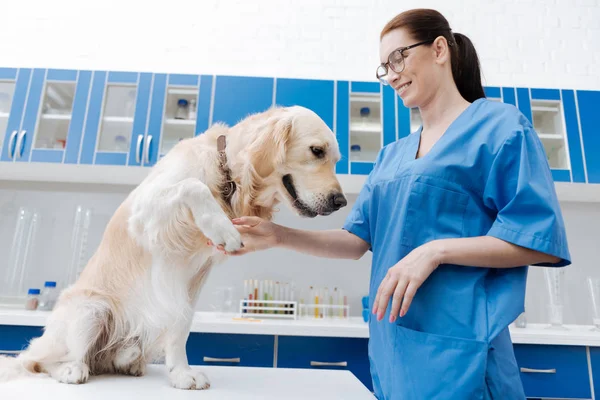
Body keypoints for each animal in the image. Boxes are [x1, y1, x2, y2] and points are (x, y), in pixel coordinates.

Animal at [0, 104, 346, 390]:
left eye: (336, 160)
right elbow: (192, 185)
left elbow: (181, 326)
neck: (228, 175)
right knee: (38, 361)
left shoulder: (197, 276)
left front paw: (181, 374)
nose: (340, 201)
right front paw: (220, 226)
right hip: (91, 309)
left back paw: (127, 364)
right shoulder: (144, 211)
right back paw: (69, 369)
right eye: (316, 151)